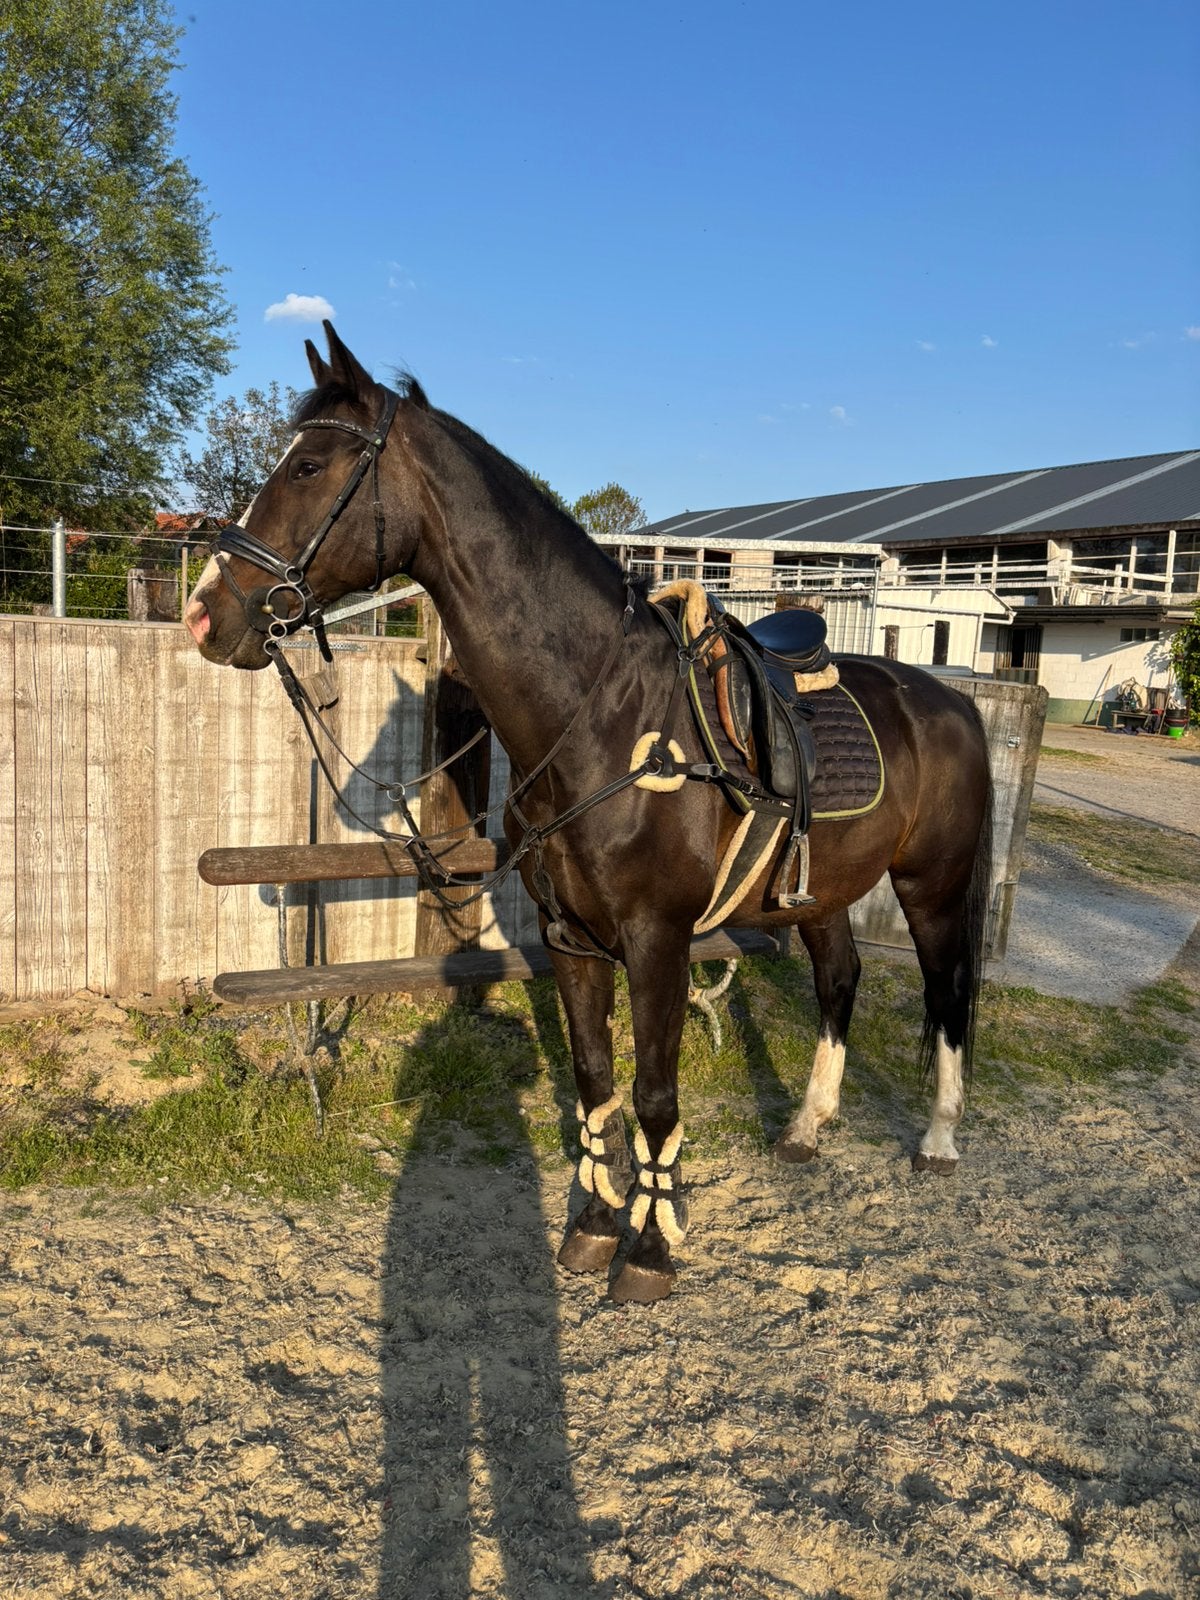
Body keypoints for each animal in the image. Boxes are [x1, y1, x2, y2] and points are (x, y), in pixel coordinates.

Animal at [184, 324, 993, 1304]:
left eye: (306, 466)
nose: (204, 614)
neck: (602, 717)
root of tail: (950, 700)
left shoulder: (657, 940)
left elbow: (653, 1096)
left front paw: (648, 1250)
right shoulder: (571, 938)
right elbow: (594, 1079)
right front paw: (596, 1229)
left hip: (933, 888)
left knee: (949, 992)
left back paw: (939, 1139)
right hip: (821, 893)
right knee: (840, 983)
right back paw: (806, 1129)